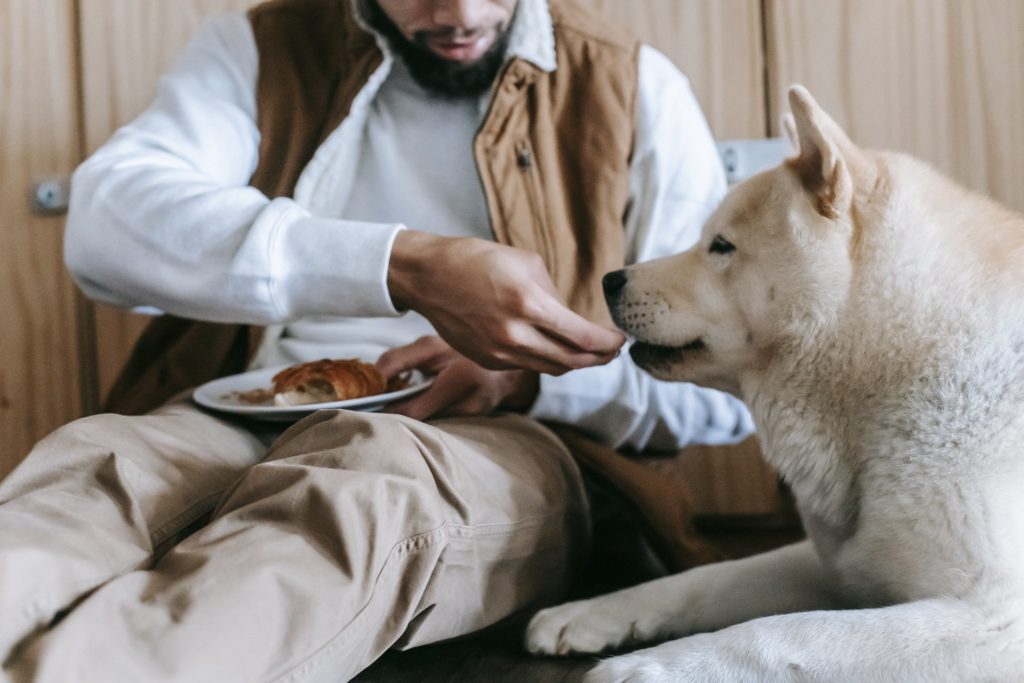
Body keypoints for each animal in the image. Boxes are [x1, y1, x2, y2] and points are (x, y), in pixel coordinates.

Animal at [528, 87, 1024, 683]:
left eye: (721, 246)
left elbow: (781, 633)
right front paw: (588, 611)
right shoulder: (836, 563)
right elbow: (703, 579)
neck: (907, 353)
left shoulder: (994, 619)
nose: (608, 280)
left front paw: (650, 667)